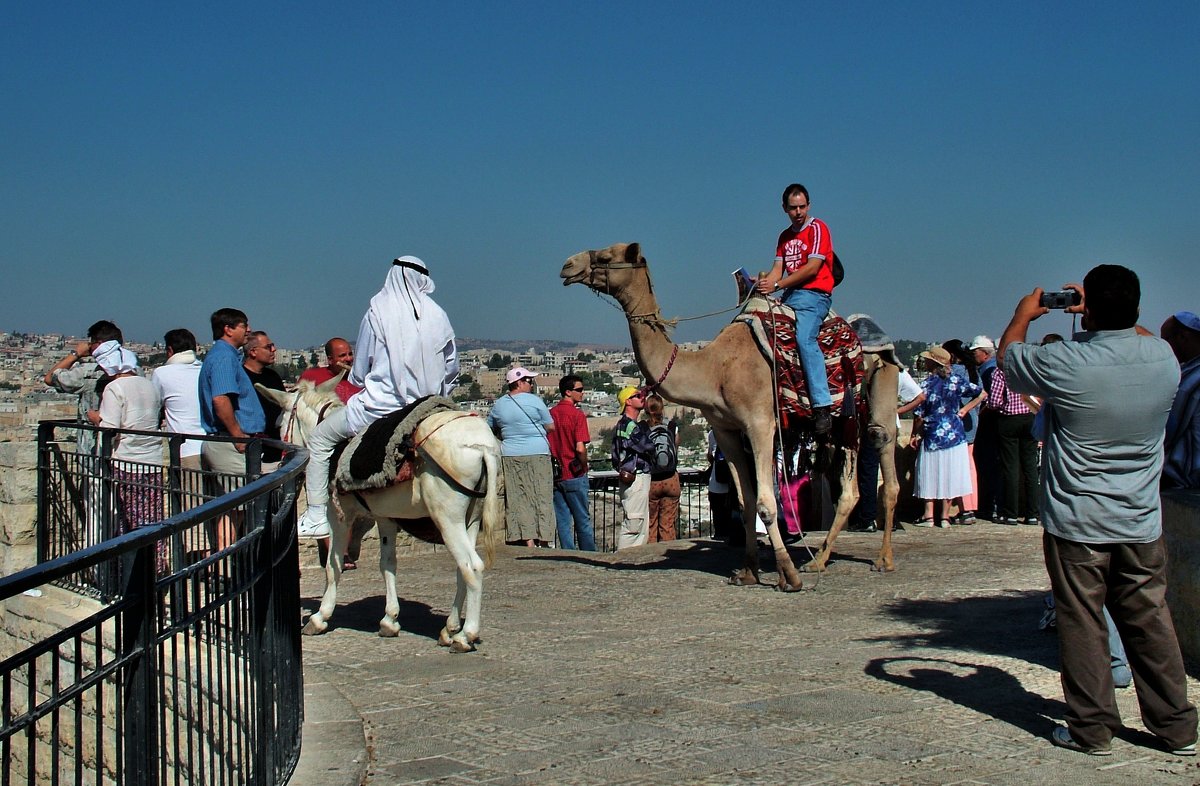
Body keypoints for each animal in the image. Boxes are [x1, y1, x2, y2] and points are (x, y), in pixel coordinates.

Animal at [260, 379, 504, 648]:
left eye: (280, 424)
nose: (281, 459)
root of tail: (483, 447)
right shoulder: (384, 517)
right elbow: (388, 563)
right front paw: (390, 619)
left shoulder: (339, 515)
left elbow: (333, 564)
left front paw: (320, 617)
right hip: (471, 518)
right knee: (462, 569)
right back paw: (450, 629)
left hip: (447, 519)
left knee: (472, 566)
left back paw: (466, 634)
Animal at [561, 242, 902, 588]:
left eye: (607, 257)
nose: (568, 265)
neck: (714, 370)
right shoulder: (725, 429)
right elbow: (745, 502)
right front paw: (748, 571)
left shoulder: (760, 423)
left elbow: (766, 503)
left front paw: (788, 575)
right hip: (838, 422)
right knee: (848, 482)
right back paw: (818, 561)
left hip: (881, 384)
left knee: (882, 446)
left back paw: (882, 560)